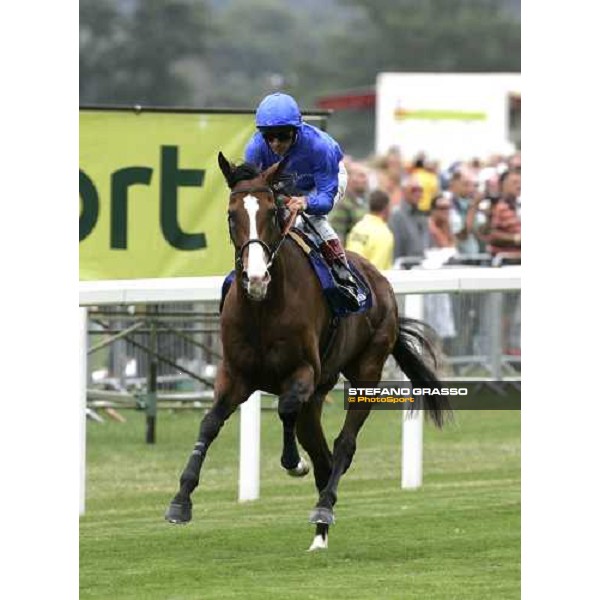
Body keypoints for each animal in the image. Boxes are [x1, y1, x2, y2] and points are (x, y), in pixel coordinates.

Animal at [165, 152, 450, 552]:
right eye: (231, 214)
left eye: (272, 212)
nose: (255, 278)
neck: (263, 308)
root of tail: (381, 280)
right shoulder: (235, 374)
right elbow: (209, 423)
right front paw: (181, 500)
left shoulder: (301, 373)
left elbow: (285, 408)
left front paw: (291, 462)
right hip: (317, 396)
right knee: (322, 455)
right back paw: (319, 535)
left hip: (367, 371)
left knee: (343, 444)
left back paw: (324, 509)